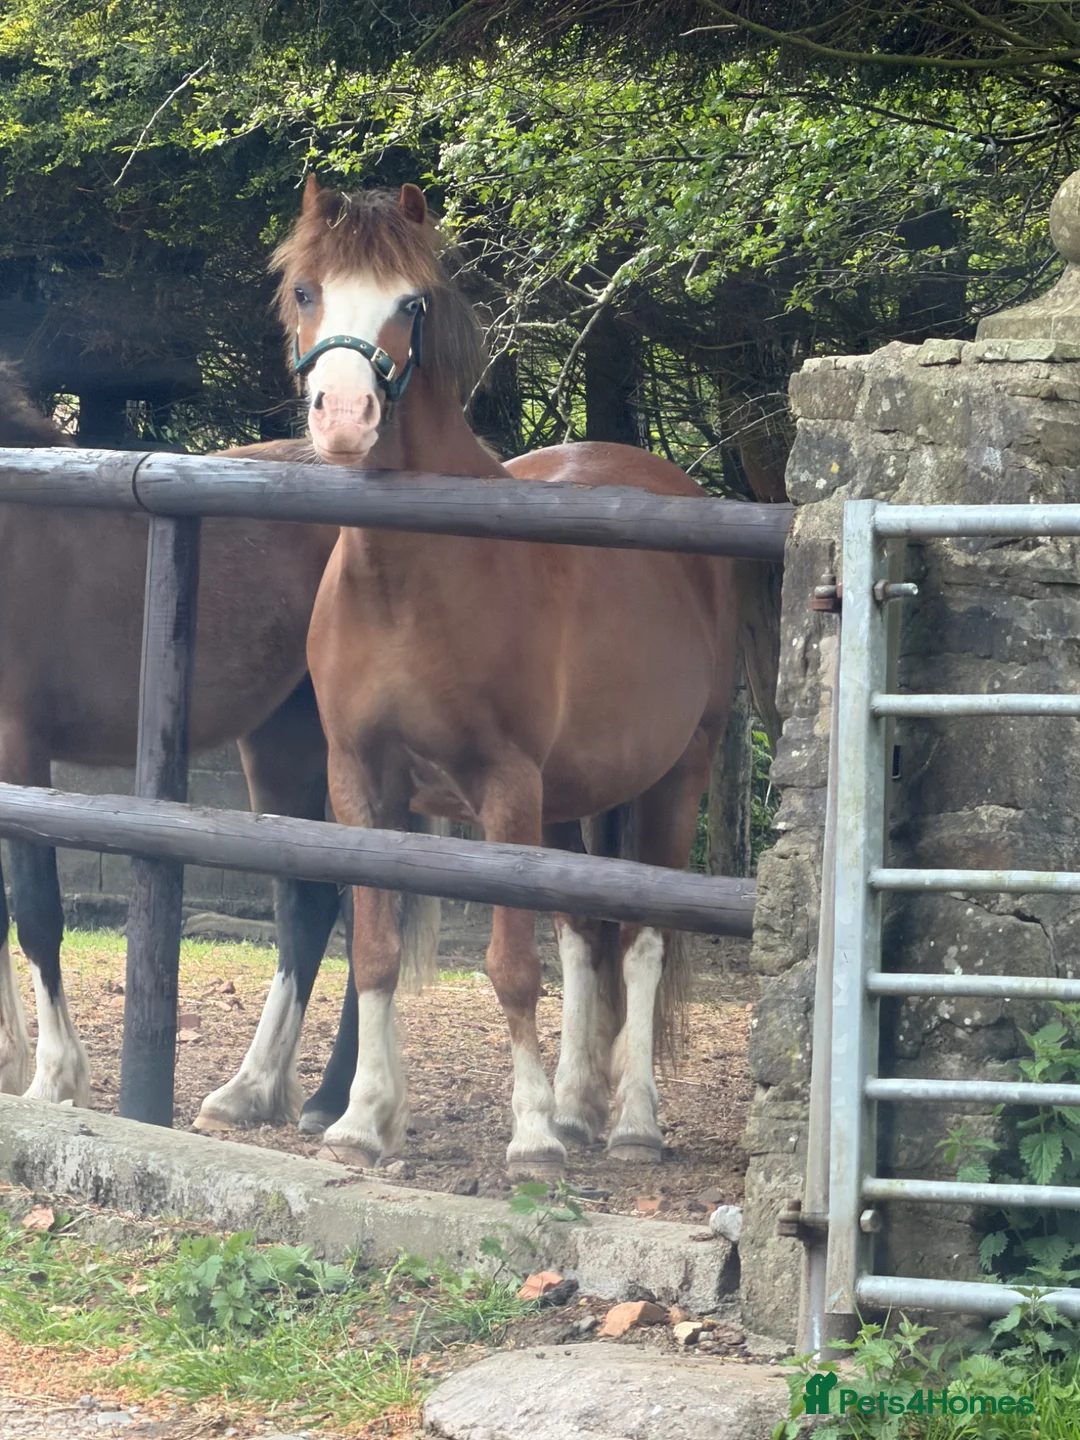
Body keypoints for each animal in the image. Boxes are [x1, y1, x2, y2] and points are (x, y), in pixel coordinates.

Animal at [0, 360, 365, 1131]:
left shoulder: (20, 747)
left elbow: (37, 910)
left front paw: (54, 1079)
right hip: (283, 742)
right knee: (314, 906)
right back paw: (263, 1091)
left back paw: (322, 1098)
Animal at [278, 177, 739, 1176]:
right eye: (305, 291)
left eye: (411, 301)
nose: (343, 415)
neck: (411, 580)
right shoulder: (359, 783)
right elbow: (375, 951)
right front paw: (362, 1120)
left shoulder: (504, 787)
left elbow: (510, 967)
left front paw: (527, 1139)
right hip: (569, 798)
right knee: (582, 934)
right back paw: (575, 1108)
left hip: (673, 778)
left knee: (640, 938)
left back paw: (632, 1124)